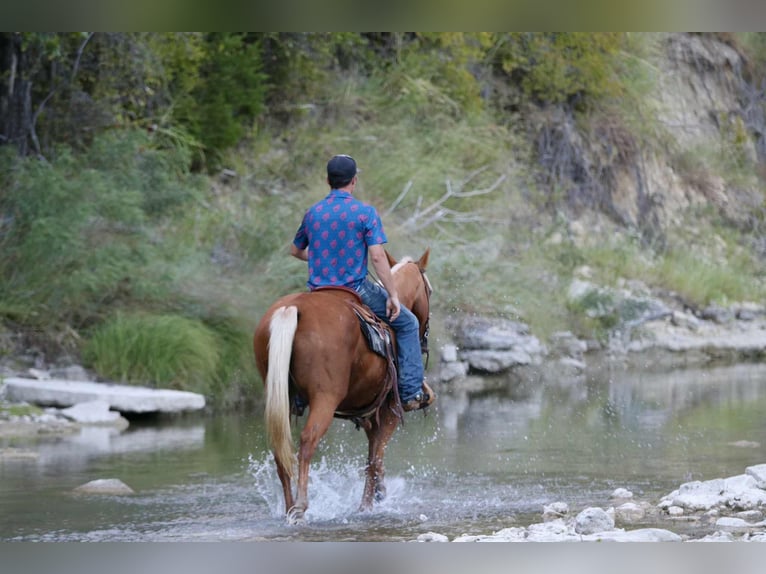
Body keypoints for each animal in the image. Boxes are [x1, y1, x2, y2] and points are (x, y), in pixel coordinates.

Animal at [252, 248, 432, 523]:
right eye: (429, 291)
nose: (424, 338)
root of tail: (293, 308)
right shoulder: (389, 410)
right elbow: (375, 458)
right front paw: (367, 506)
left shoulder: (369, 415)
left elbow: (373, 457)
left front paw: (376, 496)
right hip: (325, 398)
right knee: (308, 440)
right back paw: (301, 506)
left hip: (278, 397)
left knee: (280, 449)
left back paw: (289, 507)